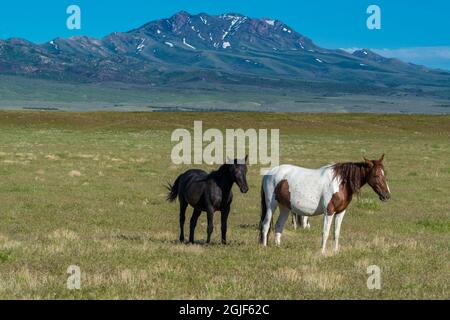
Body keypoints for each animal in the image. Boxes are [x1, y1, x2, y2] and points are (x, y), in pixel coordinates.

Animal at [260, 155, 390, 252]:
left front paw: (335, 251)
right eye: (376, 175)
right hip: (271, 206)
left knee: (278, 226)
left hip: (285, 207)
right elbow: (325, 233)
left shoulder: (340, 212)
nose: (387, 195)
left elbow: (336, 233)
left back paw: (278, 246)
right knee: (266, 225)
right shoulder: (329, 212)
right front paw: (322, 252)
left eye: (384, 174)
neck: (340, 183)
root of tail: (270, 172)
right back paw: (264, 247)